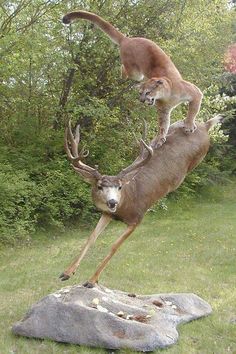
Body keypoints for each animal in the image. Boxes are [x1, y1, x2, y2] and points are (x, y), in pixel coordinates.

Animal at [60, 116, 222, 288]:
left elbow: (114, 246)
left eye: (119, 186)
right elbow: (91, 238)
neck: (126, 203)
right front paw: (67, 272)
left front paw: (92, 280)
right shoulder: (107, 214)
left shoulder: (138, 218)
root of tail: (205, 125)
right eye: (99, 186)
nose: (112, 202)